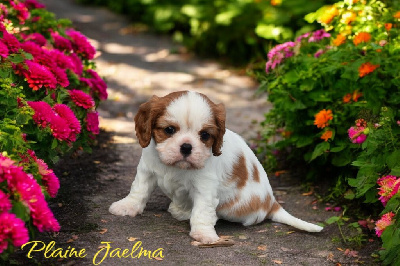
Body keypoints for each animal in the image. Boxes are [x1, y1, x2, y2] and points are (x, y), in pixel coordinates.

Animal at [108, 91, 322, 243]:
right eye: (169, 130)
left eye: (204, 135)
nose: (186, 147)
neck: (177, 167)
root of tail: (272, 202)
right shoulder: (147, 169)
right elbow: (139, 190)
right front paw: (127, 206)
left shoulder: (205, 188)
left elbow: (203, 210)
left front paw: (204, 234)